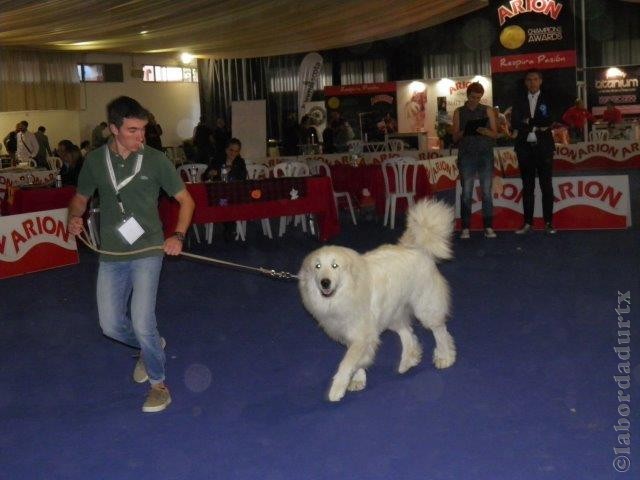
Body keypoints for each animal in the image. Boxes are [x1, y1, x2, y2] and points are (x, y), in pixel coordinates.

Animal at [298, 199, 456, 402]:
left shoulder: (362, 334)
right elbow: (356, 359)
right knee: (407, 332)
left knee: (439, 330)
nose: (325, 282)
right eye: (317, 266)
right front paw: (357, 380)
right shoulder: (353, 334)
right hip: (391, 312)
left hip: (425, 307)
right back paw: (408, 360)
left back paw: (444, 357)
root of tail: (415, 247)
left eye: (335, 266)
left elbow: (347, 362)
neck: (348, 291)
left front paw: (337, 389)